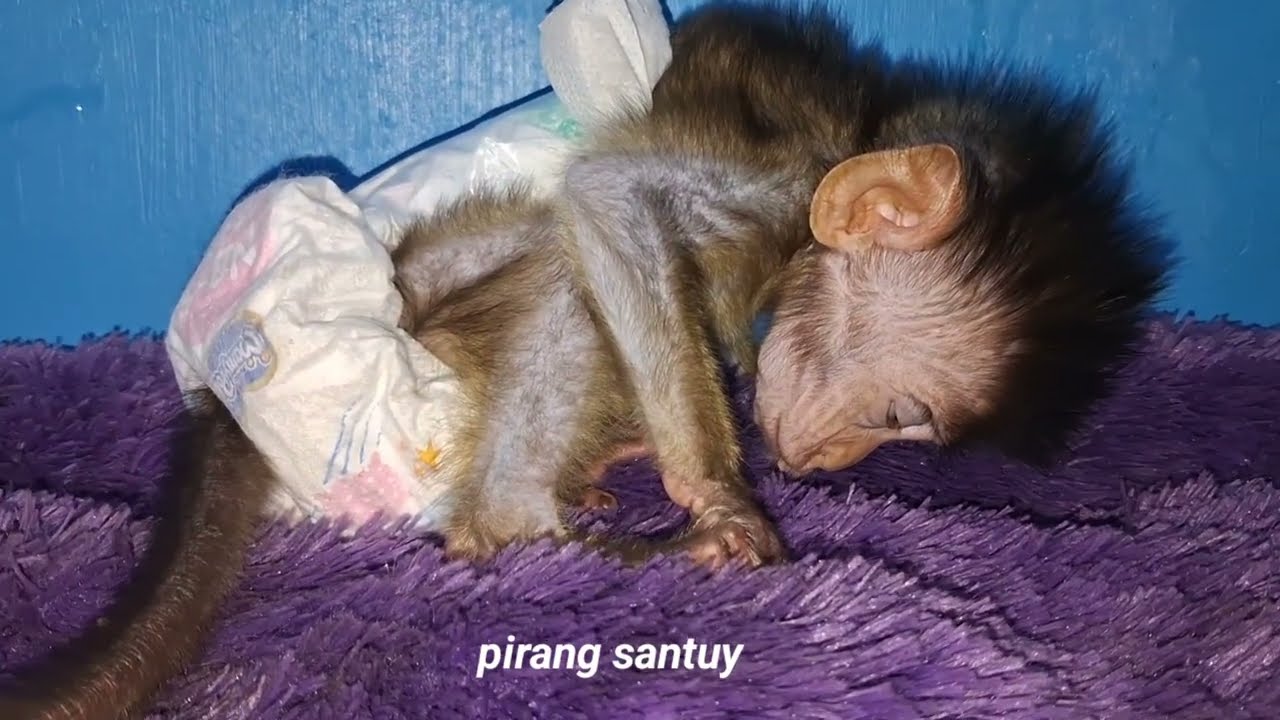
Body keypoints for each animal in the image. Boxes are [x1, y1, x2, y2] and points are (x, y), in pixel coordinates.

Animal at [0, 2, 1171, 718]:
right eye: (899, 414)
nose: (829, 463)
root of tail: (221, 398)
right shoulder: (778, 178)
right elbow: (614, 201)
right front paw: (722, 500)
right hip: (389, 363)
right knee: (565, 255)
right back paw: (525, 524)